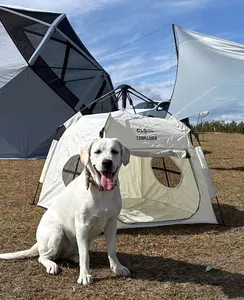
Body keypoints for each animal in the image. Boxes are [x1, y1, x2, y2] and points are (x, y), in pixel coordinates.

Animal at [0, 137, 131, 284]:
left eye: (114, 151)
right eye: (97, 152)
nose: (107, 162)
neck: (102, 192)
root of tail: (38, 243)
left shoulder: (112, 224)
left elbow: (111, 249)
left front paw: (117, 267)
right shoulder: (82, 226)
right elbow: (85, 255)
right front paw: (84, 275)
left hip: (84, 240)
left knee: (71, 254)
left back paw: (76, 258)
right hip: (56, 233)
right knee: (44, 257)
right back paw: (52, 265)